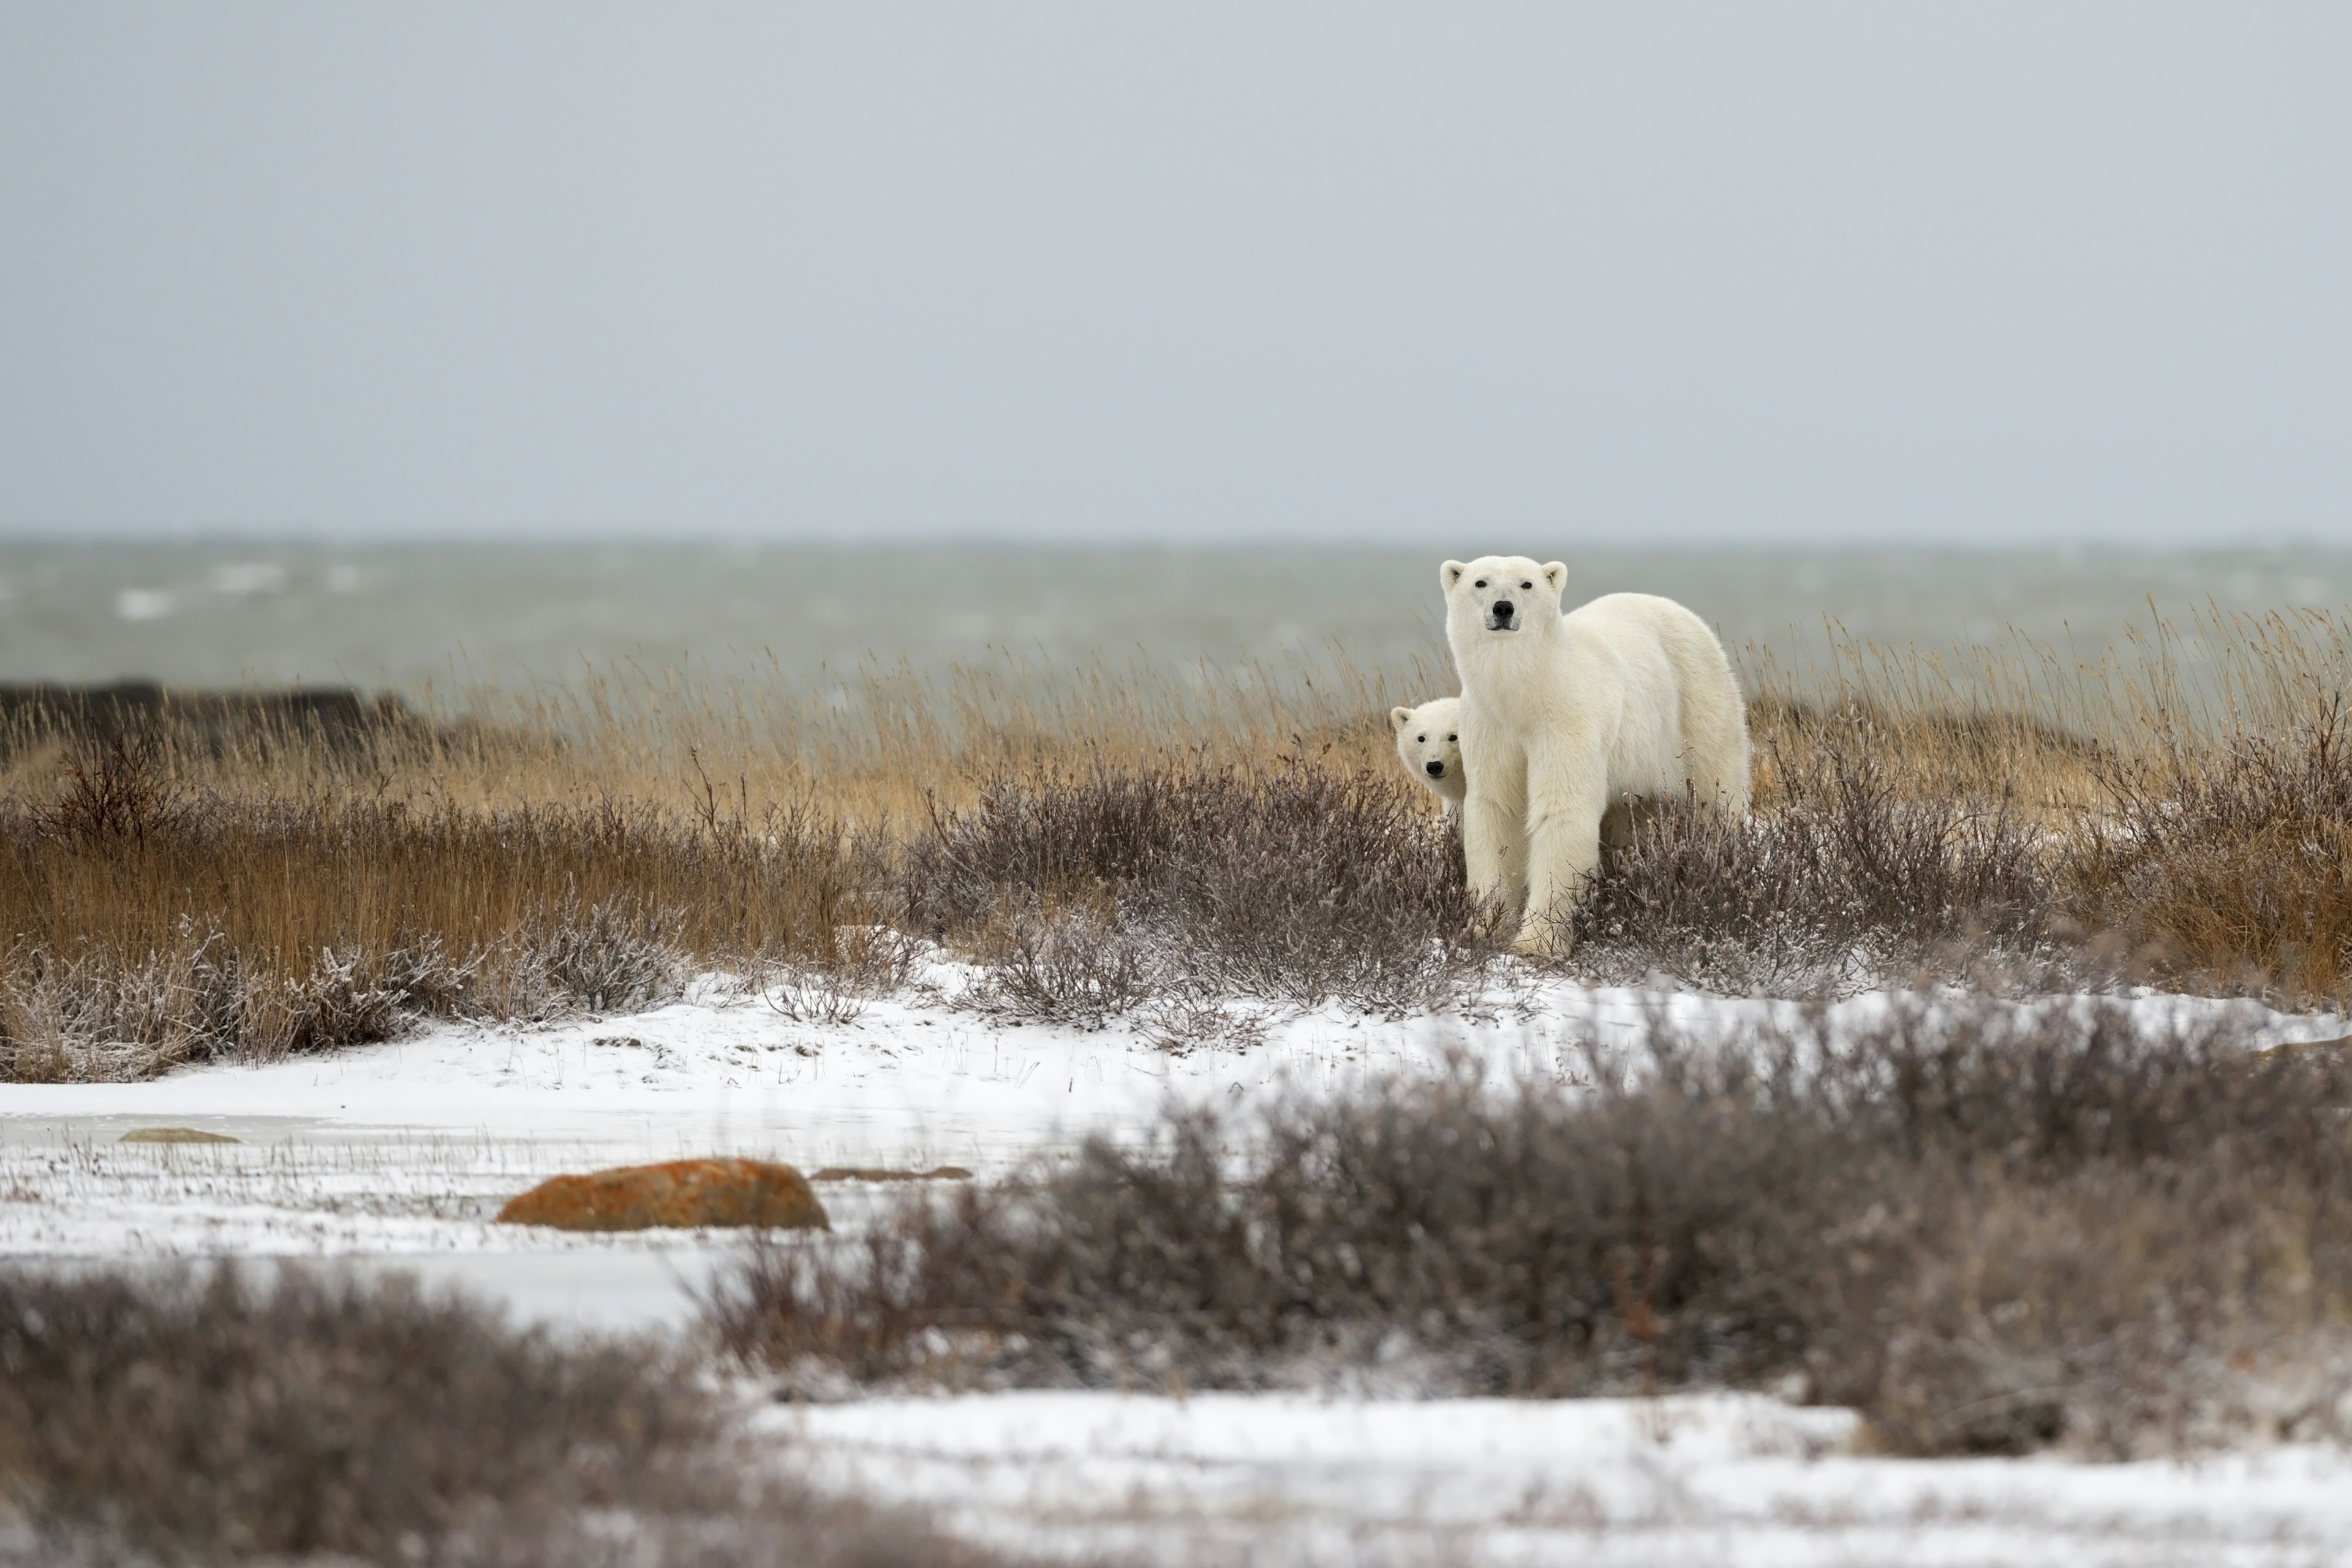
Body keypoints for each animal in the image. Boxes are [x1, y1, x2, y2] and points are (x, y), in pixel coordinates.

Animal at [1430, 562, 1749, 959]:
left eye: (1527, 583)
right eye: (1480, 582)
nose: (1503, 608)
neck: (1525, 696)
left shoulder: (1568, 718)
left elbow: (1562, 810)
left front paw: (1536, 943)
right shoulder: (1490, 725)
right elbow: (1497, 810)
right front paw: (1483, 930)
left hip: (1698, 707)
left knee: (1716, 796)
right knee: (1632, 821)